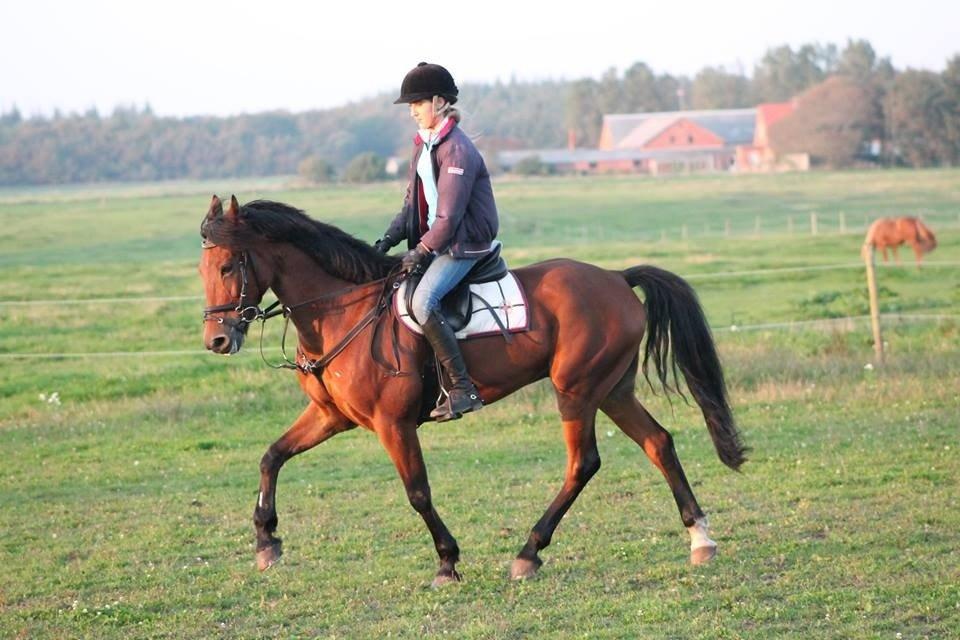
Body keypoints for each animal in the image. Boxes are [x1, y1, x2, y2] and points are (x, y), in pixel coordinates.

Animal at [198, 195, 747, 586]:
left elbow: (417, 492)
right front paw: (266, 541)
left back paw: (529, 552)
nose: (217, 340)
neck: (343, 310)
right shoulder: (332, 416)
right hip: (612, 389)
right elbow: (271, 456)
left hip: (576, 390)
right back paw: (700, 538)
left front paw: (447, 562)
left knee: (583, 463)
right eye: (202, 269)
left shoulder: (393, 424)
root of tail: (616, 276)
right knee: (658, 442)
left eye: (228, 267)